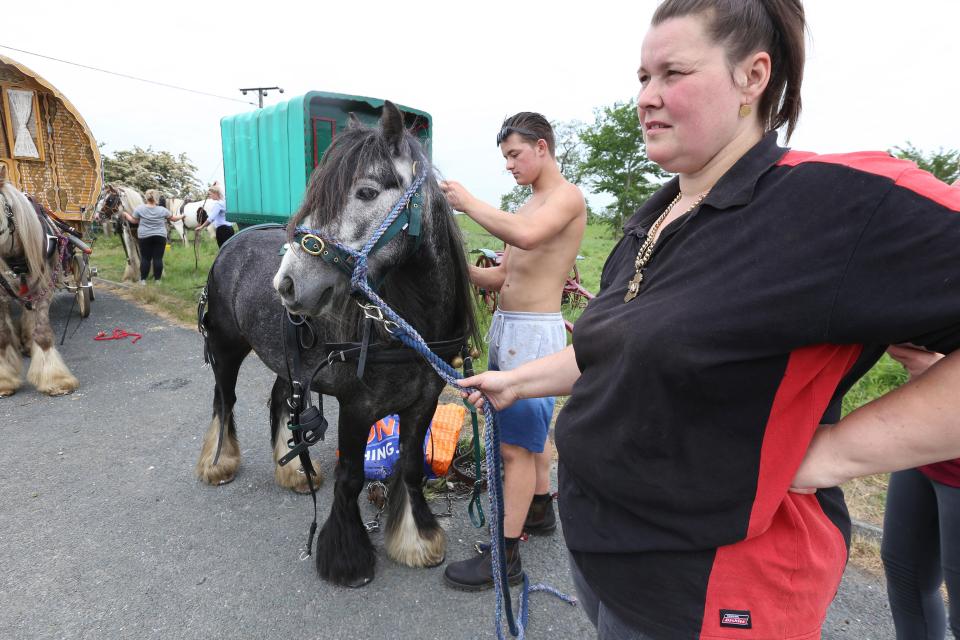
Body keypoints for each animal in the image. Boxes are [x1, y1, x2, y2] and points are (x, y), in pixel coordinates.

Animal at [197, 102, 478, 588]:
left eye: (366, 192)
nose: (287, 284)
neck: (405, 328)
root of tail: (234, 240)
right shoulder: (357, 407)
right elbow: (350, 476)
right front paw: (346, 558)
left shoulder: (423, 402)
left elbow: (410, 466)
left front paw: (416, 540)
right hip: (226, 349)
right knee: (224, 400)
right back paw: (219, 463)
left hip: (288, 362)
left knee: (279, 400)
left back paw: (295, 470)